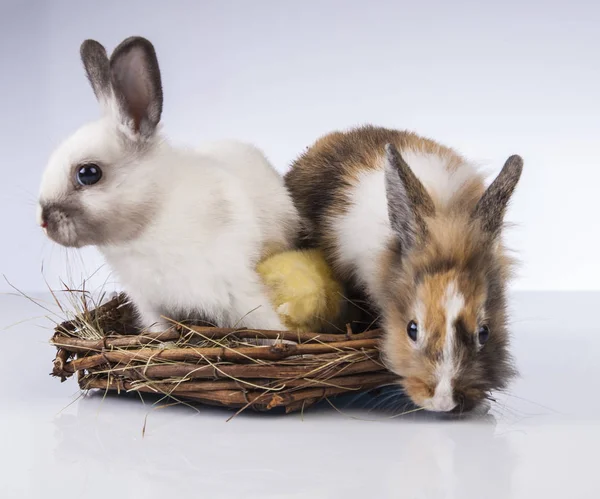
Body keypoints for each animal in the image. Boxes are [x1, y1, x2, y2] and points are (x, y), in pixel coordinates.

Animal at [37, 35, 300, 332]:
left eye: (89, 173)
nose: (43, 220)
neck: (152, 219)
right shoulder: (151, 308)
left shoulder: (242, 295)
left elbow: (268, 327)